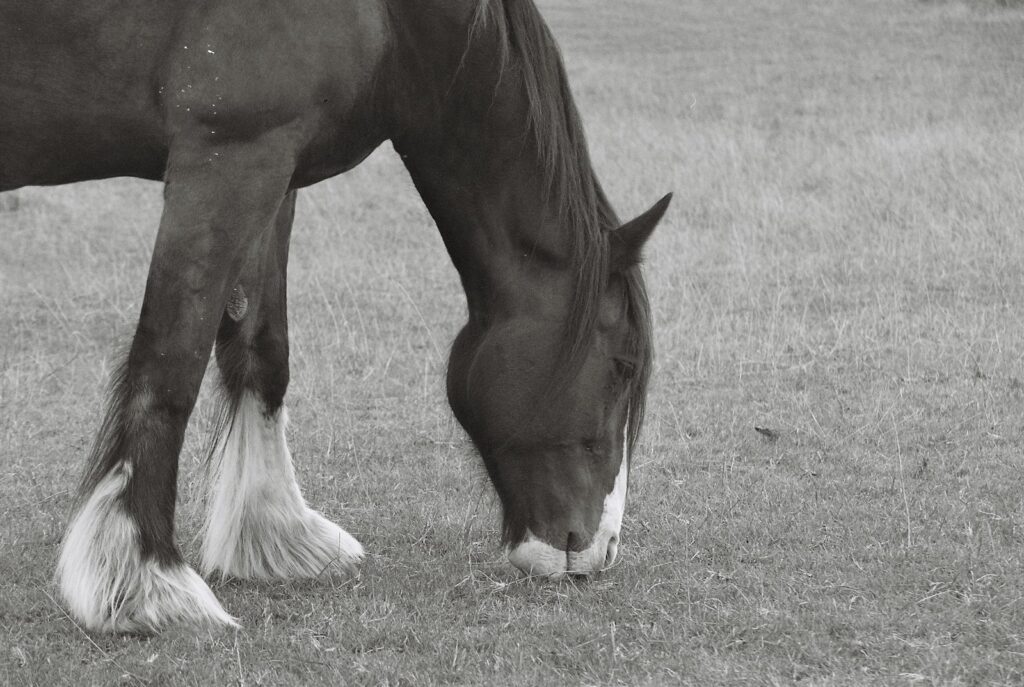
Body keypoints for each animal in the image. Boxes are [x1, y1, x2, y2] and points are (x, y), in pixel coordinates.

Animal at [0, 0, 670, 633]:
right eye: (622, 366)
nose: (601, 548)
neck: (393, 20)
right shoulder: (227, 158)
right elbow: (169, 367)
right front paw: (145, 578)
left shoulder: (274, 172)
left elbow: (262, 352)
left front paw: (278, 533)